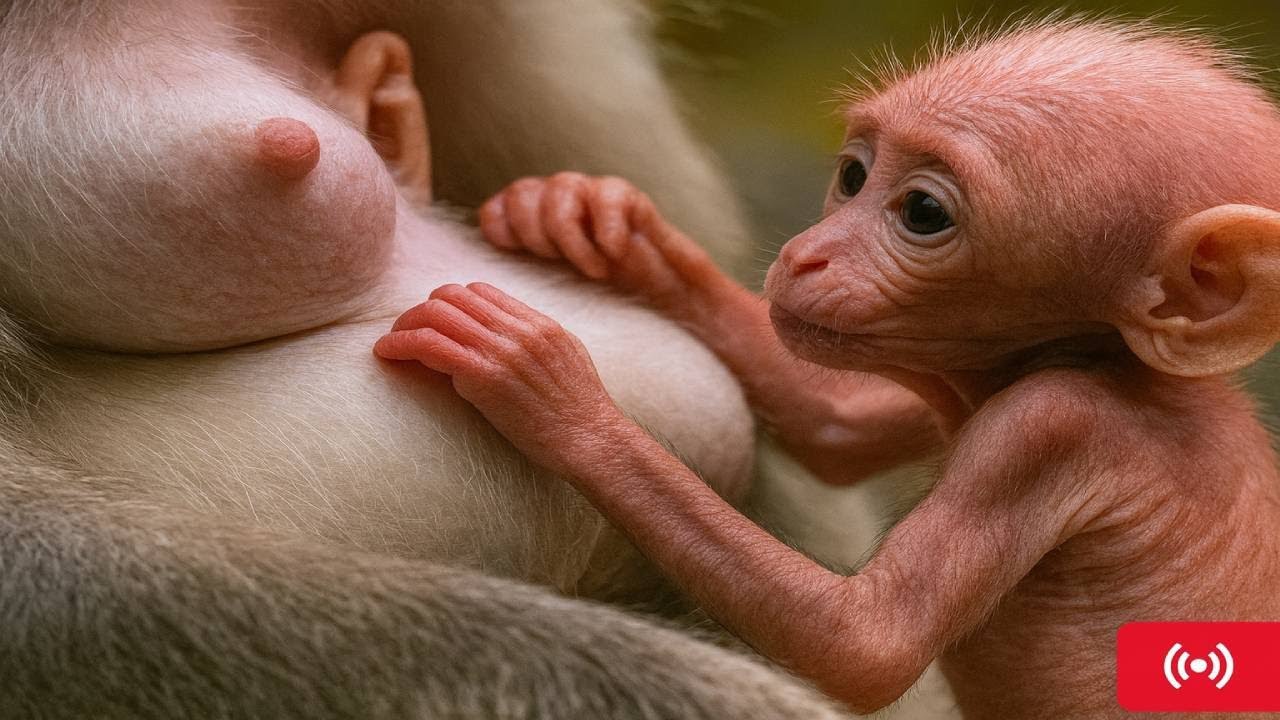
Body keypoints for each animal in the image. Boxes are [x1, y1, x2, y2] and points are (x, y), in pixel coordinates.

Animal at [375, 19, 1280, 719]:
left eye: (923, 212)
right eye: (852, 176)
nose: (807, 256)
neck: (1104, 360)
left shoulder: (1049, 430)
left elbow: (861, 647)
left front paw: (557, 394)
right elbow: (834, 430)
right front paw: (605, 226)